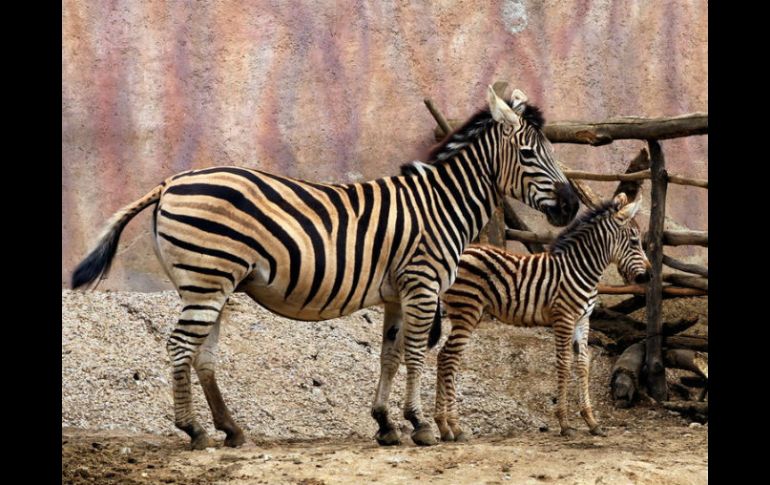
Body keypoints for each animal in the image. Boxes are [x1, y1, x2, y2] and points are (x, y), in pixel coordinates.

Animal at [70, 85, 576, 448]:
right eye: (530, 154)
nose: (572, 206)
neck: (442, 204)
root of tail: (170, 181)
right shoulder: (422, 284)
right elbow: (416, 354)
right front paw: (420, 425)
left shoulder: (397, 292)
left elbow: (390, 355)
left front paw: (385, 424)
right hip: (208, 281)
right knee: (179, 348)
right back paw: (194, 431)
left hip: (207, 285)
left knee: (202, 355)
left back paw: (230, 429)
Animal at [432, 192, 648, 438]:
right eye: (634, 241)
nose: (648, 276)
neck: (581, 269)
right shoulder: (563, 317)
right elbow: (564, 363)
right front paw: (564, 423)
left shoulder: (583, 320)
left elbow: (583, 364)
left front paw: (591, 421)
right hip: (466, 310)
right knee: (449, 358)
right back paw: (453, 426)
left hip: (468, 313)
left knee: (444, 357)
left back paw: (445, 426)